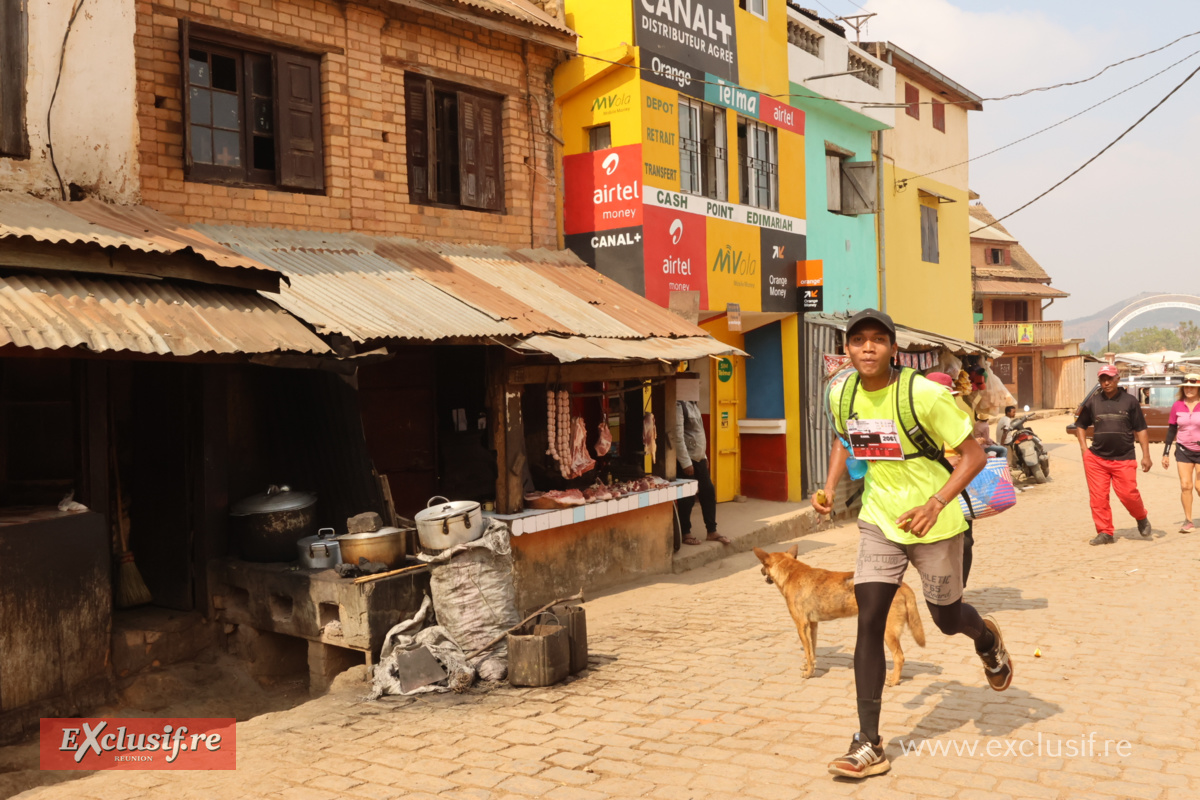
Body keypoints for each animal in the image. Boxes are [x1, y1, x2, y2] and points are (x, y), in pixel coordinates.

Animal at [748, 544, 926, 690]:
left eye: (762, 565)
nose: (760, 571)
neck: (791, 572)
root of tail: (903, 586)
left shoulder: (801, 626)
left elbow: (808, 650)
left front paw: (809, 673)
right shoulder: (813, 625)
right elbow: (812, 650)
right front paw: (810, 665)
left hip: (888, 633)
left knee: (899, 657)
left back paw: (894, 681)